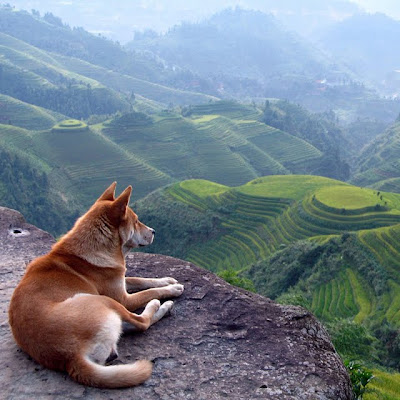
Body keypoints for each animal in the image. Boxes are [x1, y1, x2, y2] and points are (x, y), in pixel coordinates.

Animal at [9, 184, 184, 388]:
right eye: (136, 221)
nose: (154, 231)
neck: (93, 247)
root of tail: (71, 357)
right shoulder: (123, 298)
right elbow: (149, 291)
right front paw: (171, 289)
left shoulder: (119, 279)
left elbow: (141, 279)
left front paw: (167, 280)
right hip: (103, 301)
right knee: (141, 322)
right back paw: (160, 305)